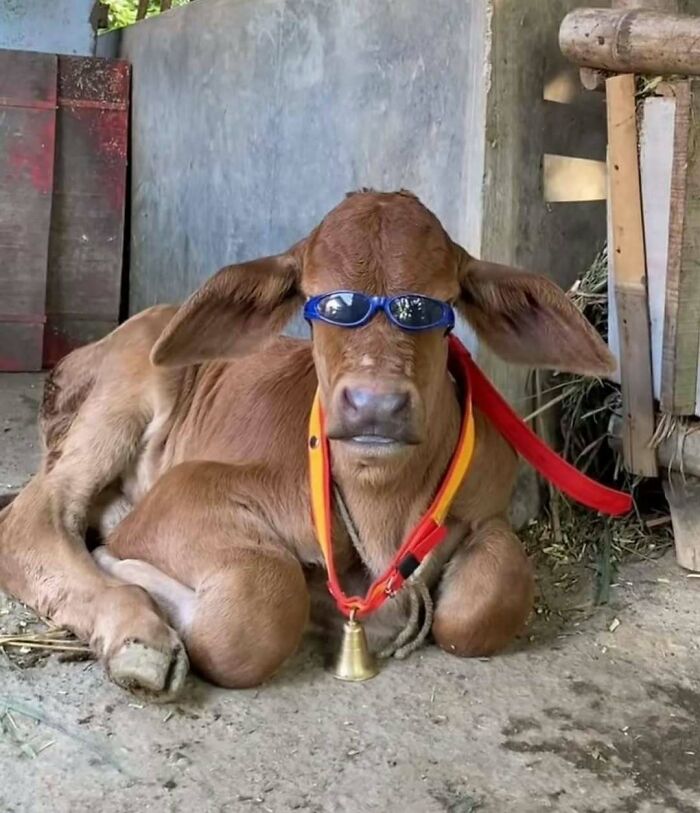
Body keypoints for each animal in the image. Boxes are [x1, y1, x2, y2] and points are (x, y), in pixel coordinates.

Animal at [0, 190, 613, 699]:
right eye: (326, 304)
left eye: (433, 307)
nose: (375, 404)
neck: (383, 504)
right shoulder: (184, 491)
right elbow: (256, 611)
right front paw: (129, 572)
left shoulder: (489, 511)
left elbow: (483, 605)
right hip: (117, 405)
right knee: (33, 520)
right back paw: (138, 635)